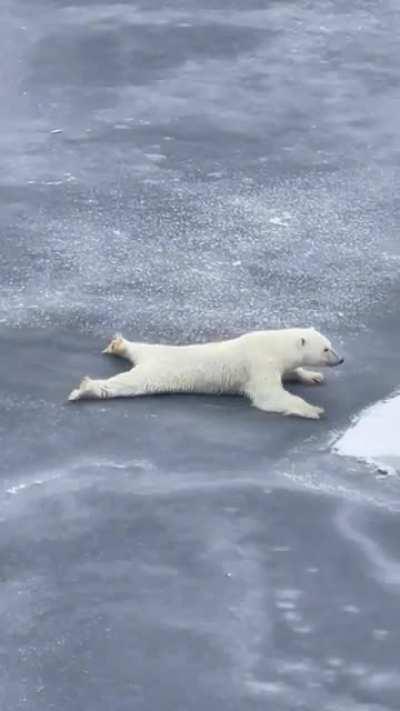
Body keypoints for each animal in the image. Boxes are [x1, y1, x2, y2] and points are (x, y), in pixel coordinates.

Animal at [68, 328, 343, 419]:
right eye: (326, 348)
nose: (341, 359)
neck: (273, 344)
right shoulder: (259, 364)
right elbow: (269, 397)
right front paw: (312, 409)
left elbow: (290, 373)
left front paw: (312, 376)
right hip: (156, 372)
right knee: (125, 384)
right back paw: (86, 389)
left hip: (155, 351)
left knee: (140, 347)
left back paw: (119, 345)